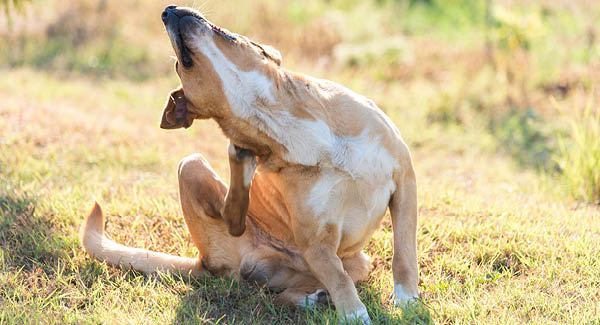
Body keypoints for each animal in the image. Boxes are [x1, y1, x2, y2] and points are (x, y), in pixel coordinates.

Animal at [78, 5, 418, 322]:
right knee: (237, 222)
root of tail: (205, 262)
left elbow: (403, 252)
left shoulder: (404, 180)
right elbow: (339, 280)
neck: (270, 112)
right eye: (178, 64)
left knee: (292, 288)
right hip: (192, 164)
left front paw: (407, 300)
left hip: (357, 262)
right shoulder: (316, 244)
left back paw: (315, 297)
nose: (167, 10)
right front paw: (354, 315)